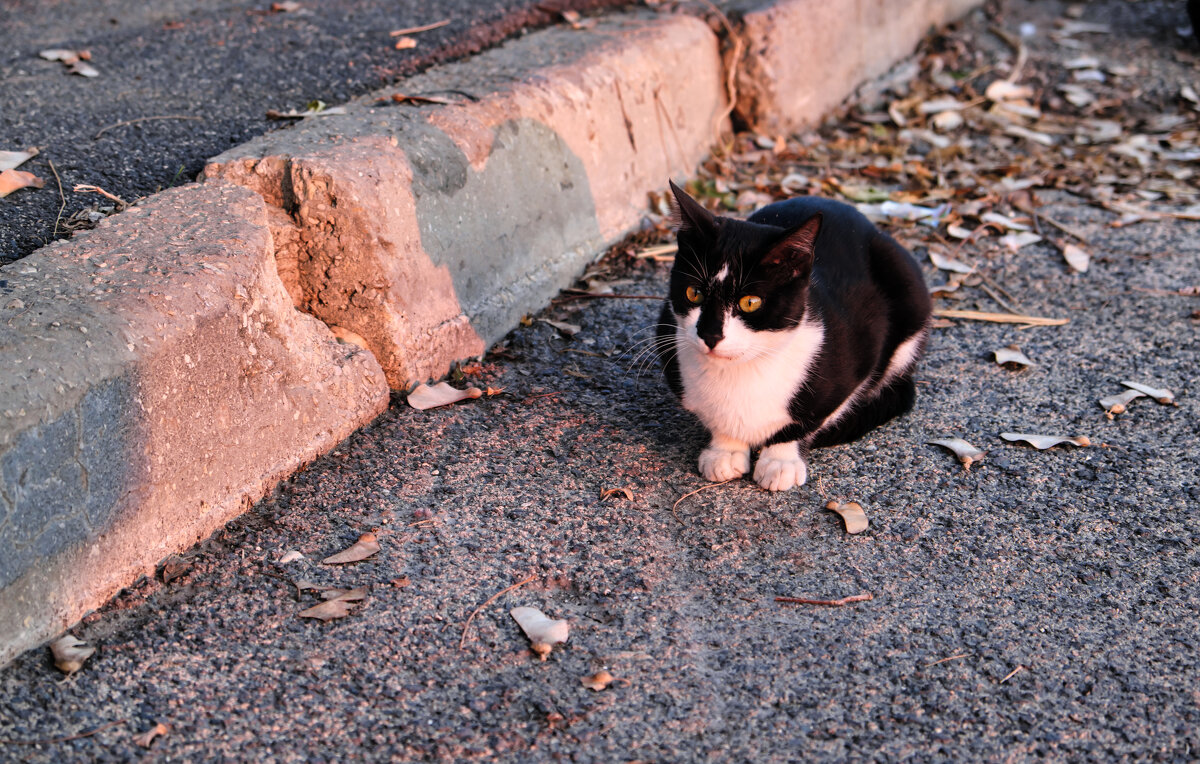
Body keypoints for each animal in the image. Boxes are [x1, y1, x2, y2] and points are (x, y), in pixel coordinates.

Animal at [662, 179, 931, 489]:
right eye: (693, 293)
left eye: (750, 302)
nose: (709, 334)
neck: (740, 372)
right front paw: (725, 451)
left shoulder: (855, 357)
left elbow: (807, 419)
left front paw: (780, 461)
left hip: (909, 291)